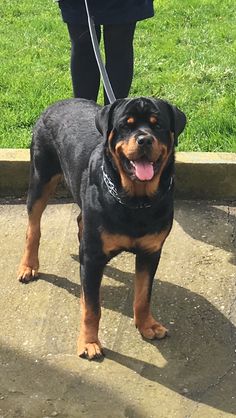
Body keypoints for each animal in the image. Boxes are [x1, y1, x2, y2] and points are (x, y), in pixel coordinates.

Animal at [17, 97, 186, 360]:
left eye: (158, 125)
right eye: (126, 125)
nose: (145, 139)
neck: (135, 201)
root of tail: (57, 103)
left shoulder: (150, 252)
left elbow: (143, 295)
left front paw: (147, 325)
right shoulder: (94, 256)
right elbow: (92, 307)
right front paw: (89, 342)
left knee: (80, 220)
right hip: (41, 176)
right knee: (33, 228)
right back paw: (29, 266)